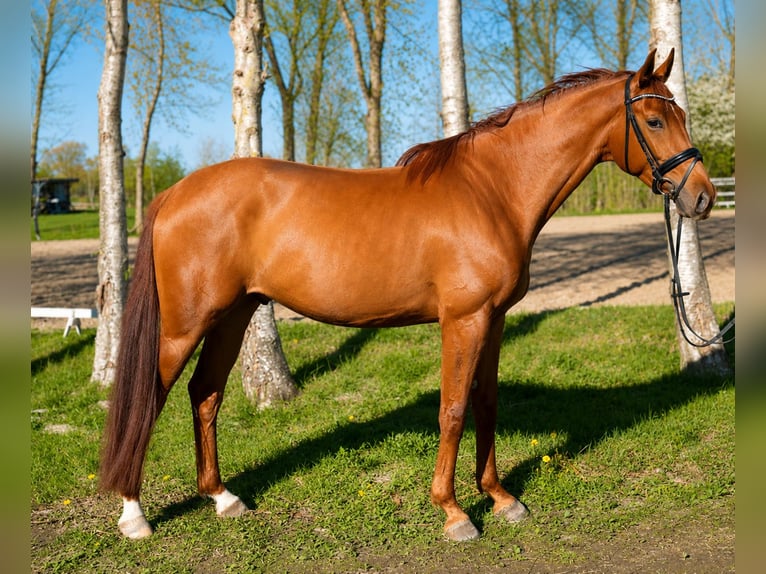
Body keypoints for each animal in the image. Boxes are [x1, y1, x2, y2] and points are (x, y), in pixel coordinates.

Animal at [100, 49, 715, 542]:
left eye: (681, 115)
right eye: (654, 119)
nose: (703, 197)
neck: (491, 190)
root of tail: (174, 193)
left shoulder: (494, 320)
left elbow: (486, 404)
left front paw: (501, 498)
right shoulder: (463, 320)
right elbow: (452, 410)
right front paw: (455, 514)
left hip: (233, 315)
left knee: (205, 395)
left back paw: (223, 498)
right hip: (184, 326)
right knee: (149, 398)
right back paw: (134, 515)